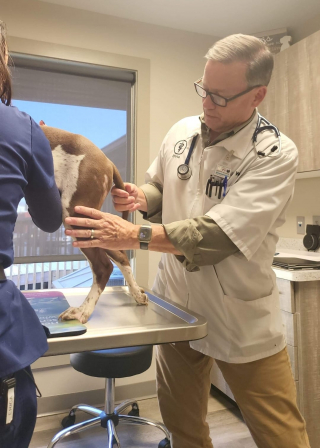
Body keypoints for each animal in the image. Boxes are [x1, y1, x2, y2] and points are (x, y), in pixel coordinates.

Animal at [39, 123, 148, 322]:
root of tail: (108, 161)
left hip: (76, 215)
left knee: (103, 267)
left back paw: (82, 310)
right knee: (120, 256)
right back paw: (136, 293)